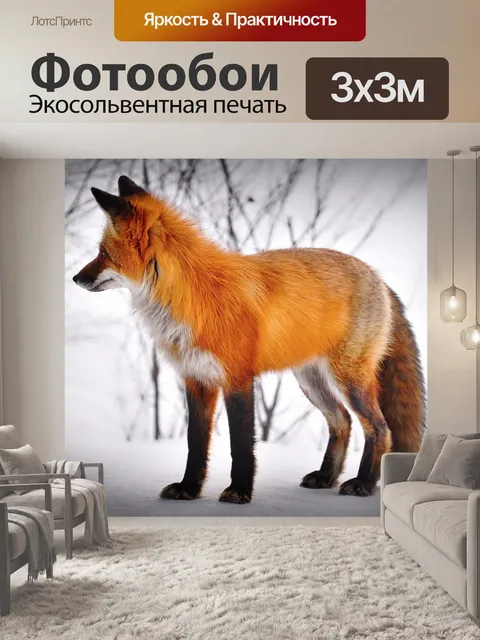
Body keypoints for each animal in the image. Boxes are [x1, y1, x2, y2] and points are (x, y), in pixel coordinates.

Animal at [73, 175, 425, 504]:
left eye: (102, 253)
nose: (75, 278)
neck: (189, 296)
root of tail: (377, 276)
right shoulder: (196, 378)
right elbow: (195, 444)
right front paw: (189, 488)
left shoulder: (238, 378)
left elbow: (241, 443)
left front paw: (239, 491)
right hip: (311, 381)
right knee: (342, 423)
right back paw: (326, 476)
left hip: (349, 379)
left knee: (379, 428)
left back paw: (364, 483)